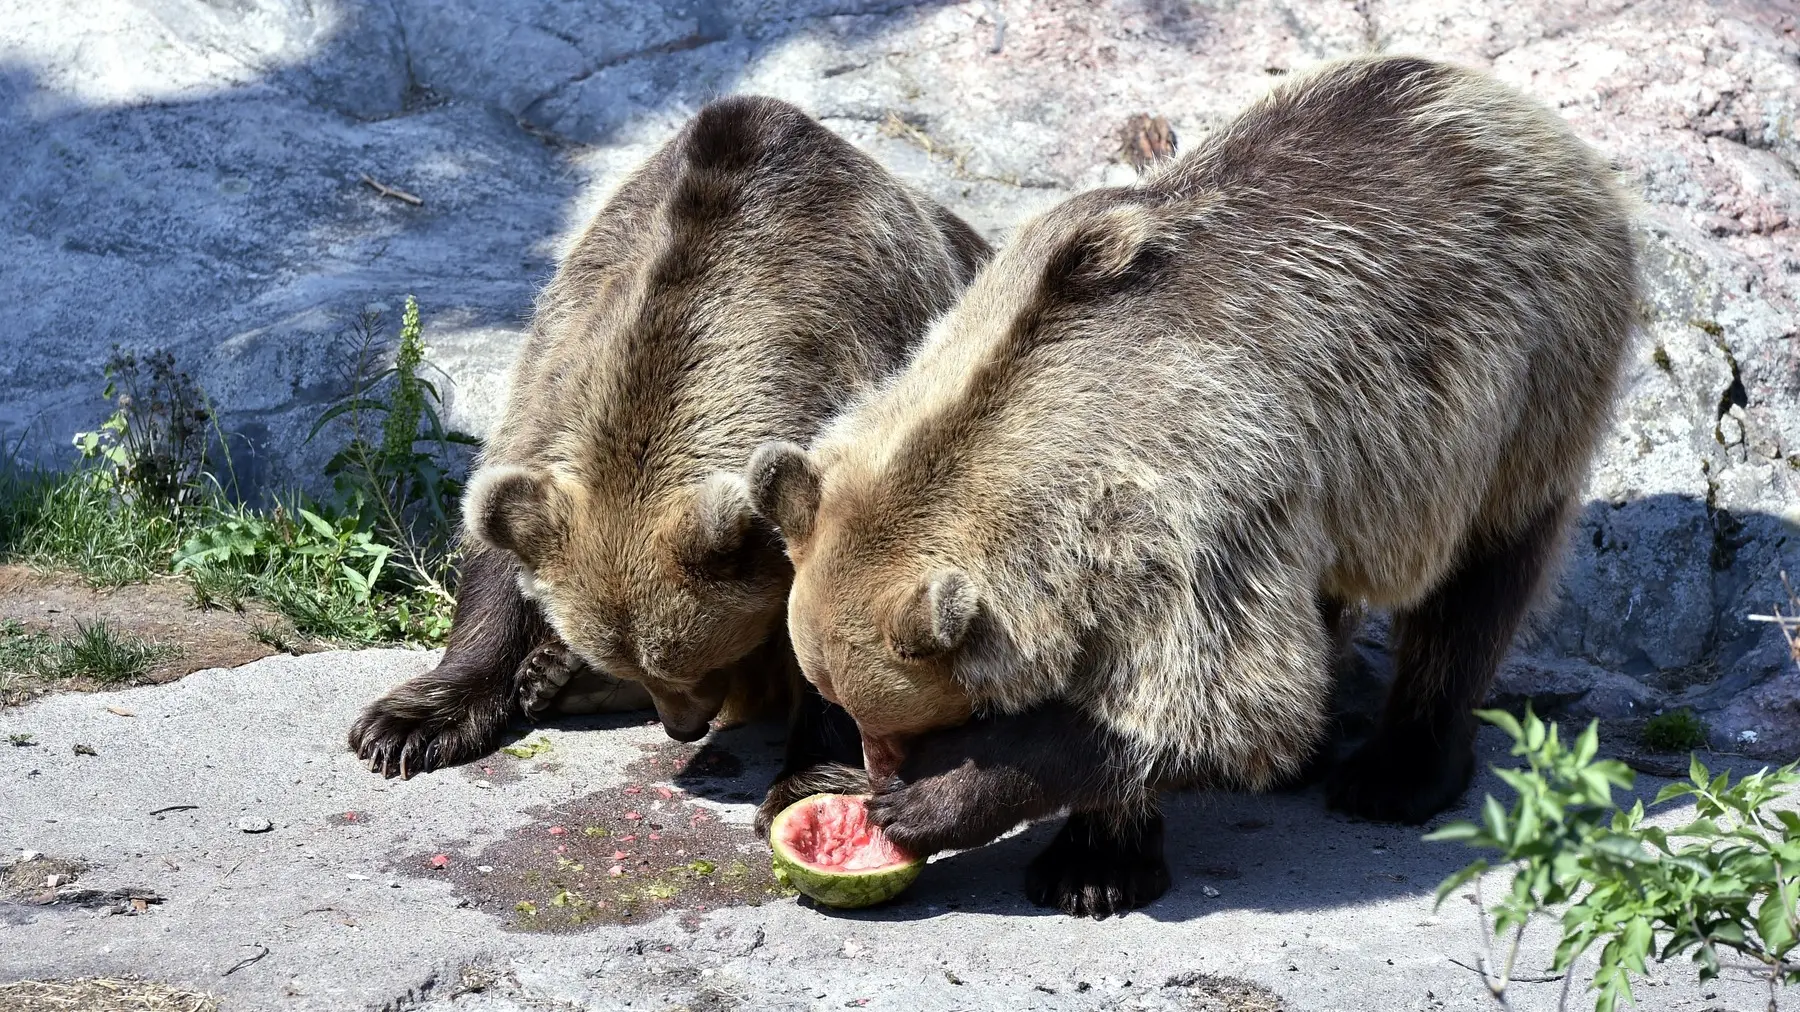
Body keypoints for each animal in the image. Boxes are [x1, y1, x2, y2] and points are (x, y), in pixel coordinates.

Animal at [342, 96, 993, 810]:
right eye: (645, 663)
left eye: (694, 660)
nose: (681, 726)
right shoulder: (562, 358)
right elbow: (497, 543)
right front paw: (407, 725)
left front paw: (811, 775)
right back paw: (553, 678)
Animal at [745, 57, 1648, 914]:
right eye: (835, 698)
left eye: (892, 715)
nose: (875, 775)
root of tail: (1520, 110)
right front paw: (1098, 860)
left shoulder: (1202, 504)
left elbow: (1218, 703)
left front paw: (977, 808)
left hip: (1522, 376)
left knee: (1479, 578)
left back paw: (1399, 771)